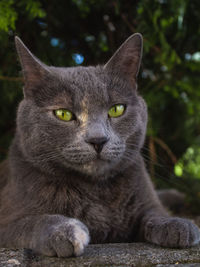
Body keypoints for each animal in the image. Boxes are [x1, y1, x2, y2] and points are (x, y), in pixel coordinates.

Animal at [0, 33, 199, 258]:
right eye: (63, 114)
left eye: (117, 109)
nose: (98, 139)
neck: (97, 191)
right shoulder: (6, 219)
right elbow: (32, 222)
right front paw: (66, 231)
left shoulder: (145, 197)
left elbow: (154, 212)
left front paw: (177, 224)